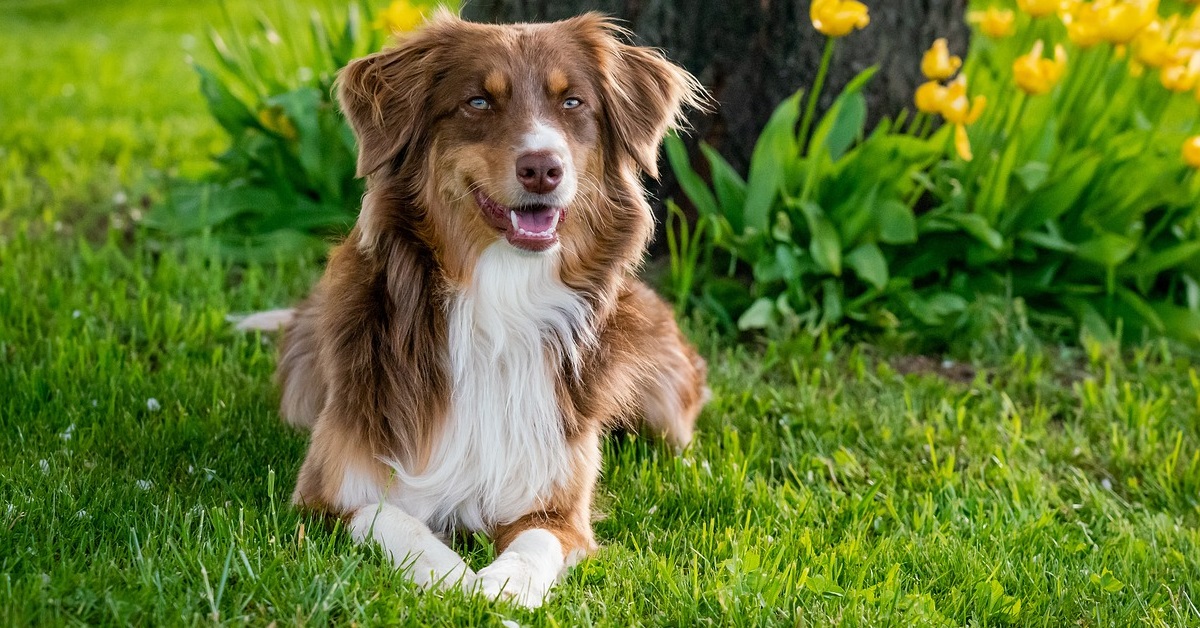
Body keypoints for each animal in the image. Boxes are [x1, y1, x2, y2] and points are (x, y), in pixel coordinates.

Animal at [238, 11, 705, 609]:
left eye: (573, 102)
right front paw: (454, 579)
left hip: (664, 403)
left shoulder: (558, 507)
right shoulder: (325, 495)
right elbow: (391, 520)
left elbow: (535, 543)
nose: (542, 168)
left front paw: (505, 585)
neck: (499, 301)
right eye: (478, 102)